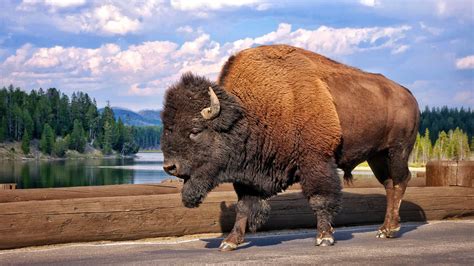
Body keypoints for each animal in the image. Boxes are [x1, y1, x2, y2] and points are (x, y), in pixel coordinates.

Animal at [162, 44, 418, 250]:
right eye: (167, 128)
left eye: (195, 130)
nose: (169, 167)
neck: (247, 114)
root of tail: (408, 94)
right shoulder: (248, 176)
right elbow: (243, 207)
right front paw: (230, 242)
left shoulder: (315, 160)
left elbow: (320, 198)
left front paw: (324, 237)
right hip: (377, 156)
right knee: (389, 185)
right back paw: (385, 229)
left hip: (397, 151)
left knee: (401, 181)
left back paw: (390, 230)